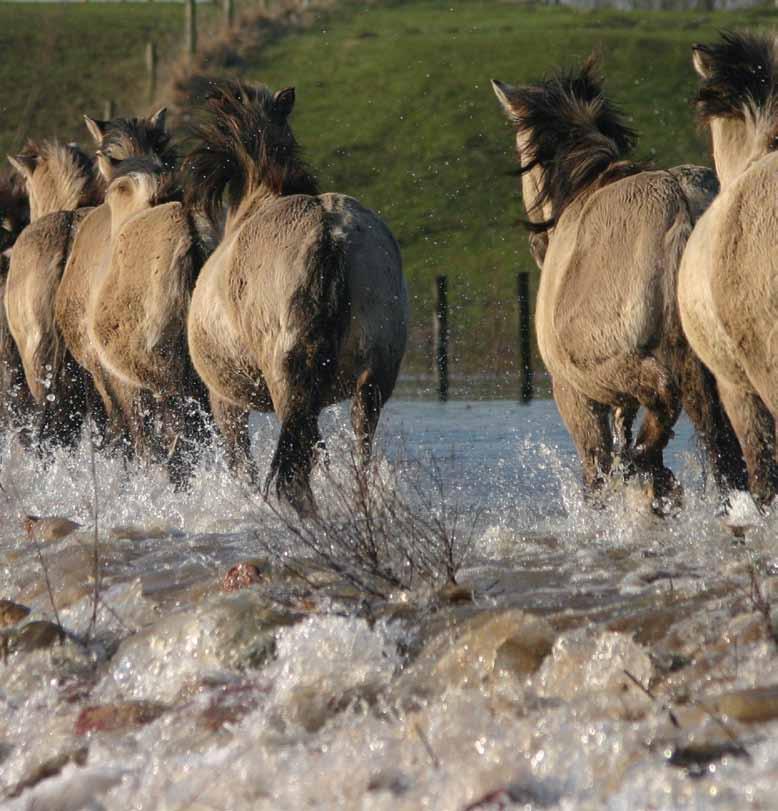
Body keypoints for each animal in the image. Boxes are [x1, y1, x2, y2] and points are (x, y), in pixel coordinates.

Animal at [186, 82, 410, 512]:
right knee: (356, 453)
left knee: (296, 470)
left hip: (289, 389)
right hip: (371, 382)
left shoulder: (226, 404)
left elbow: (243, 467)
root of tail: (328, 232)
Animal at [492, 60, 744, 508]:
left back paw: (651, 470)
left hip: (616, 366)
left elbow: (597, 470)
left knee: (662, 400)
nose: (539, 246)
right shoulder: (621, 403)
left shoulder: (576, 396)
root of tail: (680, 207)